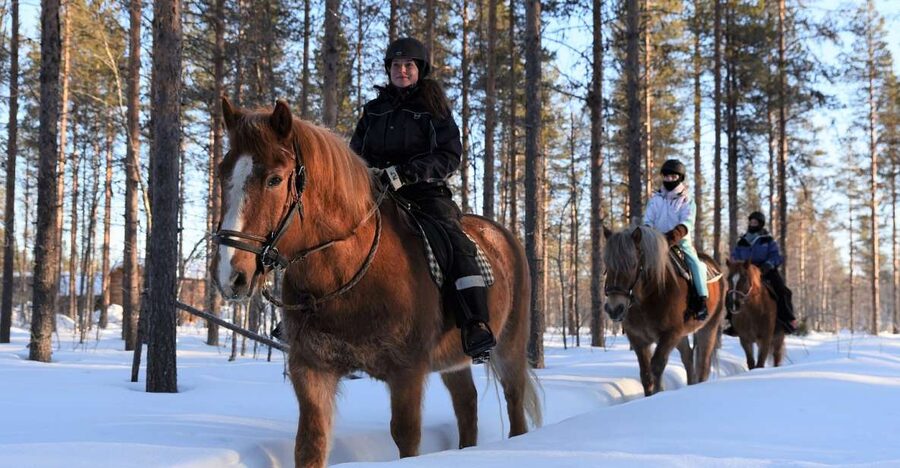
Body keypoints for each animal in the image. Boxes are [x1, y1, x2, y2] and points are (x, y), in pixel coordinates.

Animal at [210, 98, 540, 467]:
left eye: (275, 179)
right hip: (454, 358)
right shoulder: (310, 368)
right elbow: (310, 443)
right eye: (223, 173)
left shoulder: (407, 372)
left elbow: (406, 435)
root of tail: (503, 236)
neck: (347, 275)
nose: (231, 275)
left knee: (513, 403)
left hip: (509, 345)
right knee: (466, 405)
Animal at [603, 226, 724, 396]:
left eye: (633, 264)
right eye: (606, 263)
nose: (614, 309)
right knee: (688, 358)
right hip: (682, 336)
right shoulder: (638, 339)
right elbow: (646, 375)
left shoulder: (669, 334)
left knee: (703, 365)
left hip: (708, 328)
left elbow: (657, 366)